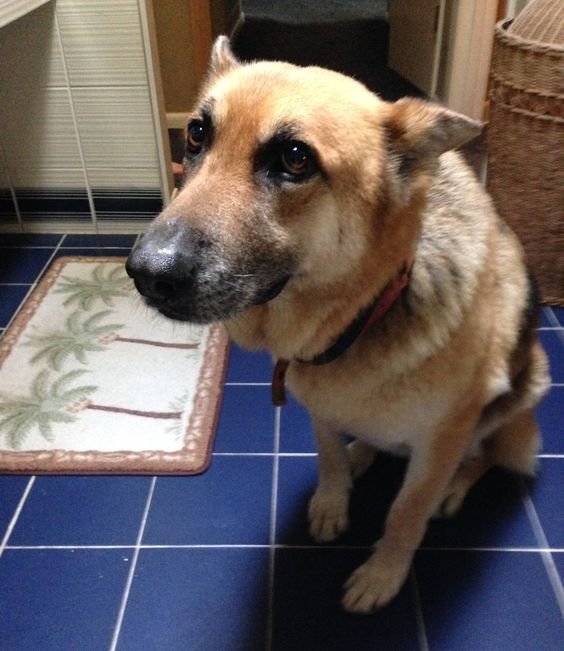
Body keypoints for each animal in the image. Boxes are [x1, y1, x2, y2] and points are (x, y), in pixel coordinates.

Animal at [124, 38, 552, 612]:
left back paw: (454, 484)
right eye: (196, 134)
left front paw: (383, 574)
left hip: (524, 395)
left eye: (294, 158)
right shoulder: (319, 407)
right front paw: (333, 499)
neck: (367, 314)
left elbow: (407, 511)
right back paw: (363, 452)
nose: (146, 274)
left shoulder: (443, 437)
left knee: (485, 455)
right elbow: (328, 456)